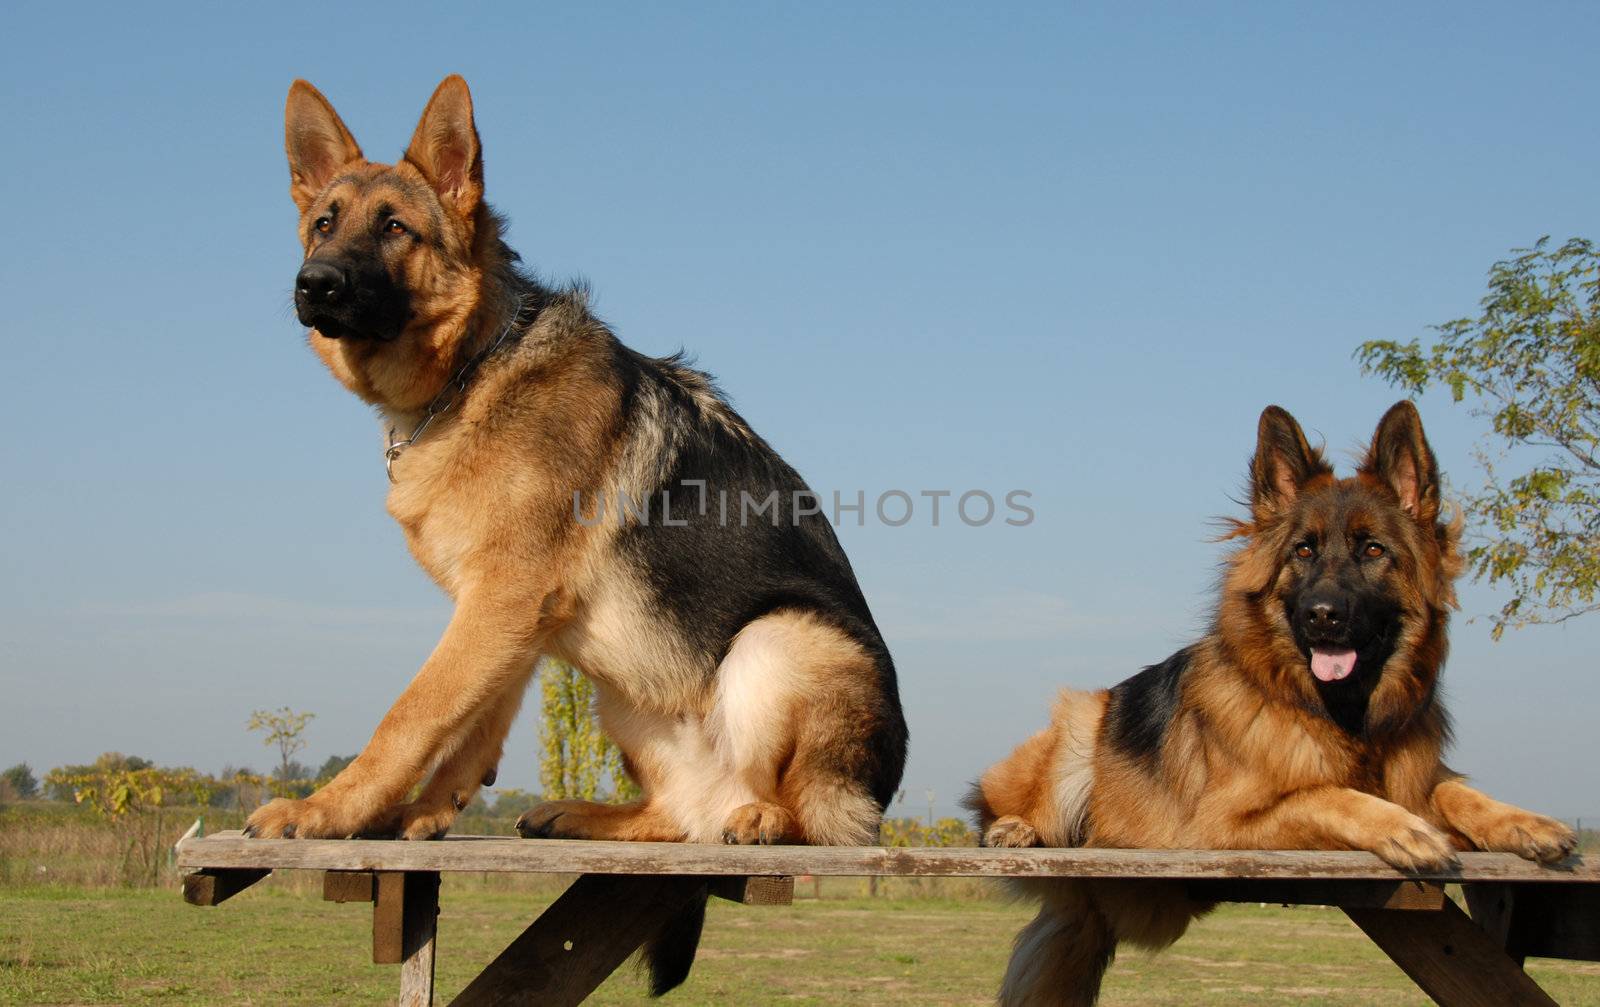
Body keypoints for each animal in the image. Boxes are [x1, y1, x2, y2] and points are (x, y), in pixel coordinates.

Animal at [244, 76, 908, 992]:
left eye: (394, 228)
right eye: (323, 222)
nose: (313, 284)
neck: (474, 367)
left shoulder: (503, 601)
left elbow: (412, 715)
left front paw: (329, 810)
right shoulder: (511, 617)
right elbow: (470, 725)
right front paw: (424, 813)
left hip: (778, 642)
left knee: (810, 818)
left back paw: (765, 819)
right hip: (625, 695)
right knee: (680, 817)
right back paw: (588, 815)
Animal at [960, 401, 1574, 1005]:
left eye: (1374, 550)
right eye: (1303, 551)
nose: (1322, 616)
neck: (1339, 713)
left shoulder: (1418, 774)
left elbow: (1457, 792)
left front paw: (1526, 823)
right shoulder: (1222, 825)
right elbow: (1323, 795)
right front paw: (1404, 828)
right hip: (1081, 722)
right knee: (998, 806)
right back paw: (1014, 828)